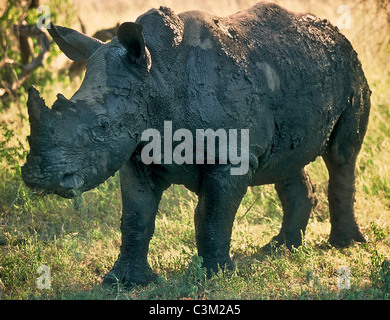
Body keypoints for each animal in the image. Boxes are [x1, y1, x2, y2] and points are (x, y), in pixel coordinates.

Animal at [21, 1, 368, 288]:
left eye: (103, 126)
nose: (39, 177)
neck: (157, 76)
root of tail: (336, 34)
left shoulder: (232, 155)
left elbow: (212, 216)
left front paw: (215, 276)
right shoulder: (136, 155)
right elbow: (135, 217)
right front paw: (122, 282)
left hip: (350, 68)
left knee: (341, 156)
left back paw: (345, 244)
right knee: (286, 161)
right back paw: (280, 248)